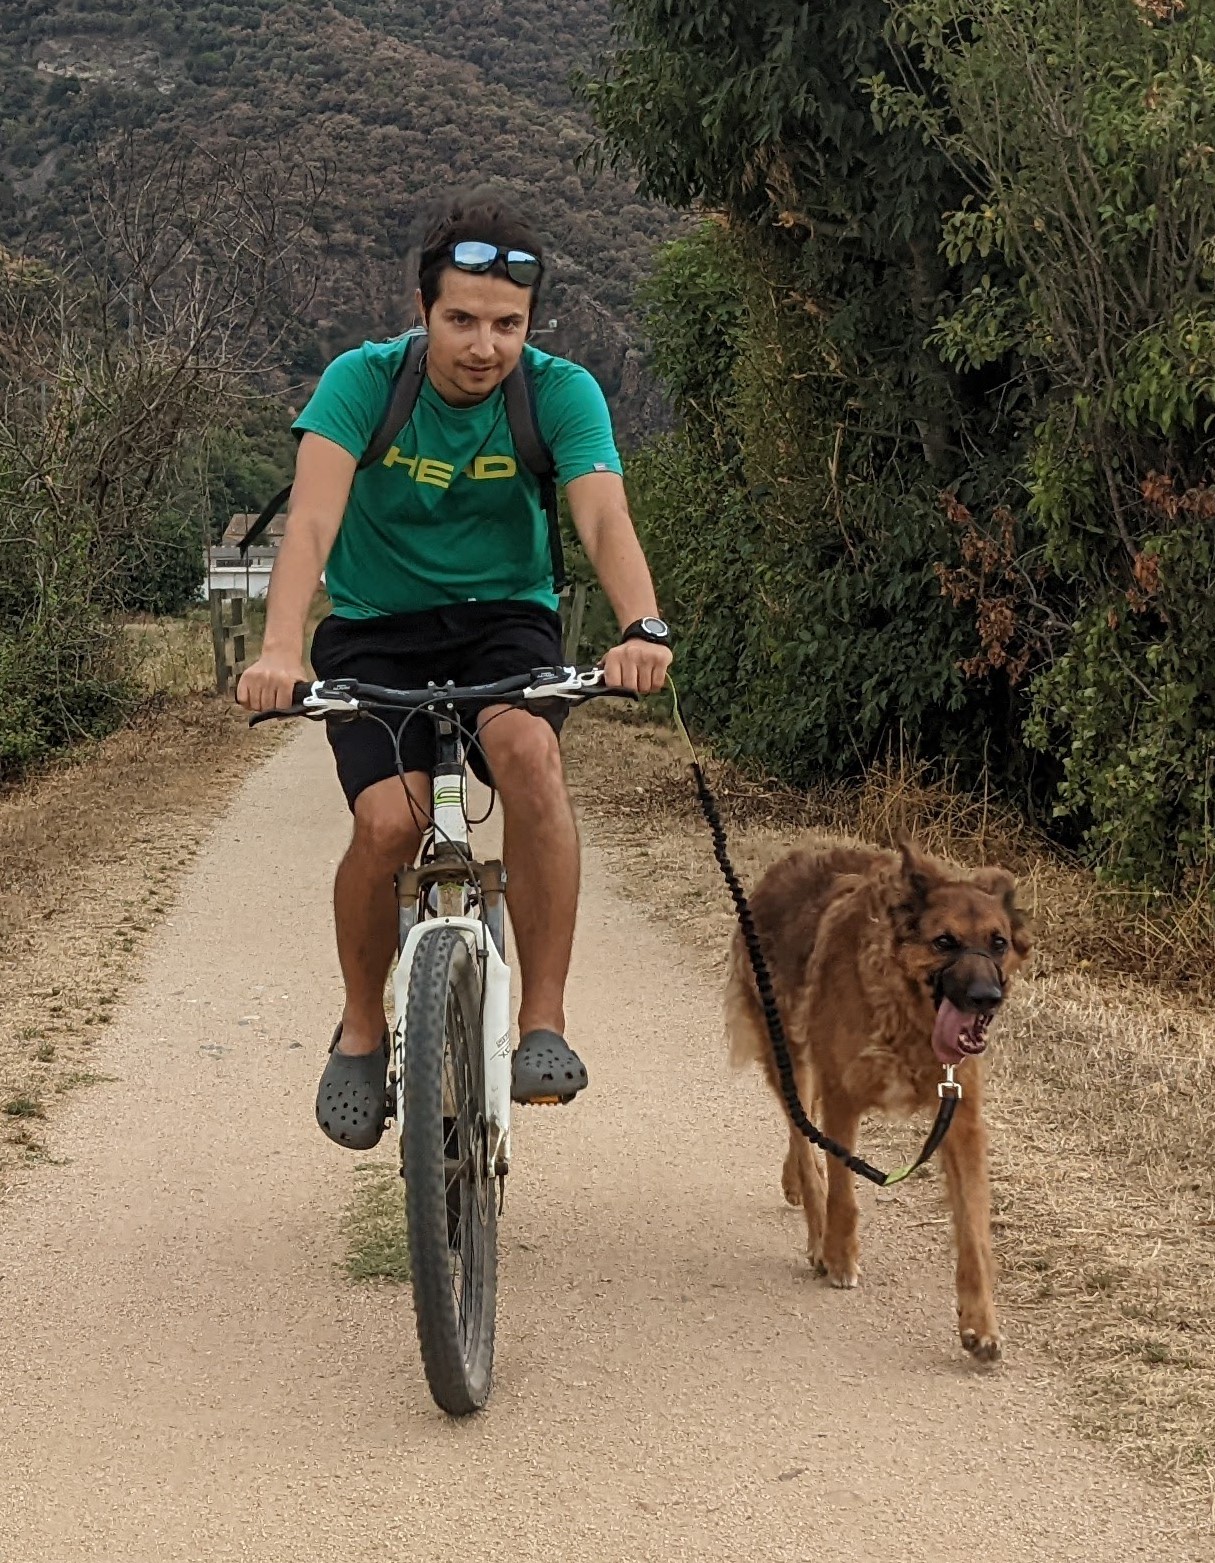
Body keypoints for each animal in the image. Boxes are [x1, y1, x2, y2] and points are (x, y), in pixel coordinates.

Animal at [725, 837, 1025, 1362]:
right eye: (944, 942)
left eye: (998, 943)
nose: (986, 998)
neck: (904, 1009)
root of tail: (785, 865)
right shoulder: (842, 1096)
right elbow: (844, 1190)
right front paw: (839, 1254)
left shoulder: (961, 1120)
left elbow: (974, 1233)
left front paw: (980, 1322)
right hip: (791, 1060)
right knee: (804, 1143)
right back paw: (816, 1228)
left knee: (802, 1134)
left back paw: (796, 1187)